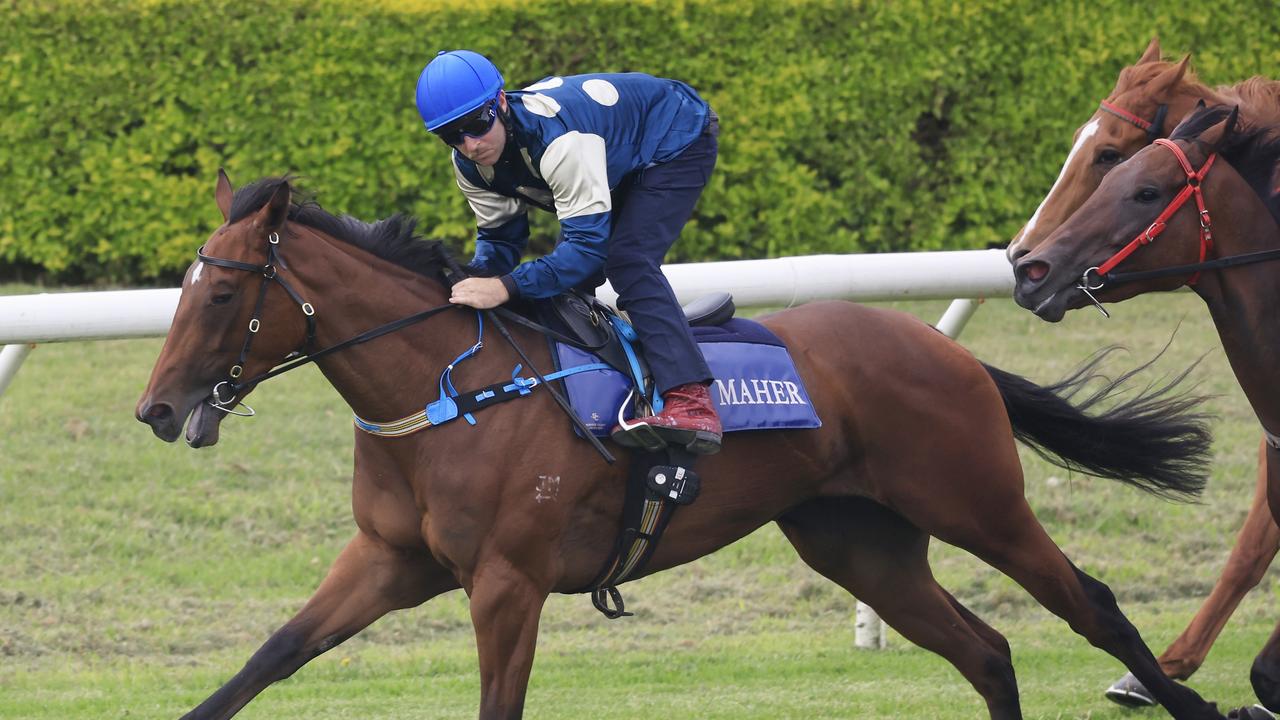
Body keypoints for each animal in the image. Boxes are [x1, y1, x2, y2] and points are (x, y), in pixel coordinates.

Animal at [135, 170, 1223, 712]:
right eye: (182, 290)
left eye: (222, 296)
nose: (156, 410)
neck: (449, 393)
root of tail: (938, 346)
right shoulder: (391, 560)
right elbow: (270, 656)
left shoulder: (507, 581)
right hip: (859, 543)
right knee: (987, 652)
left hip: (977, 502)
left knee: (1091, 607)